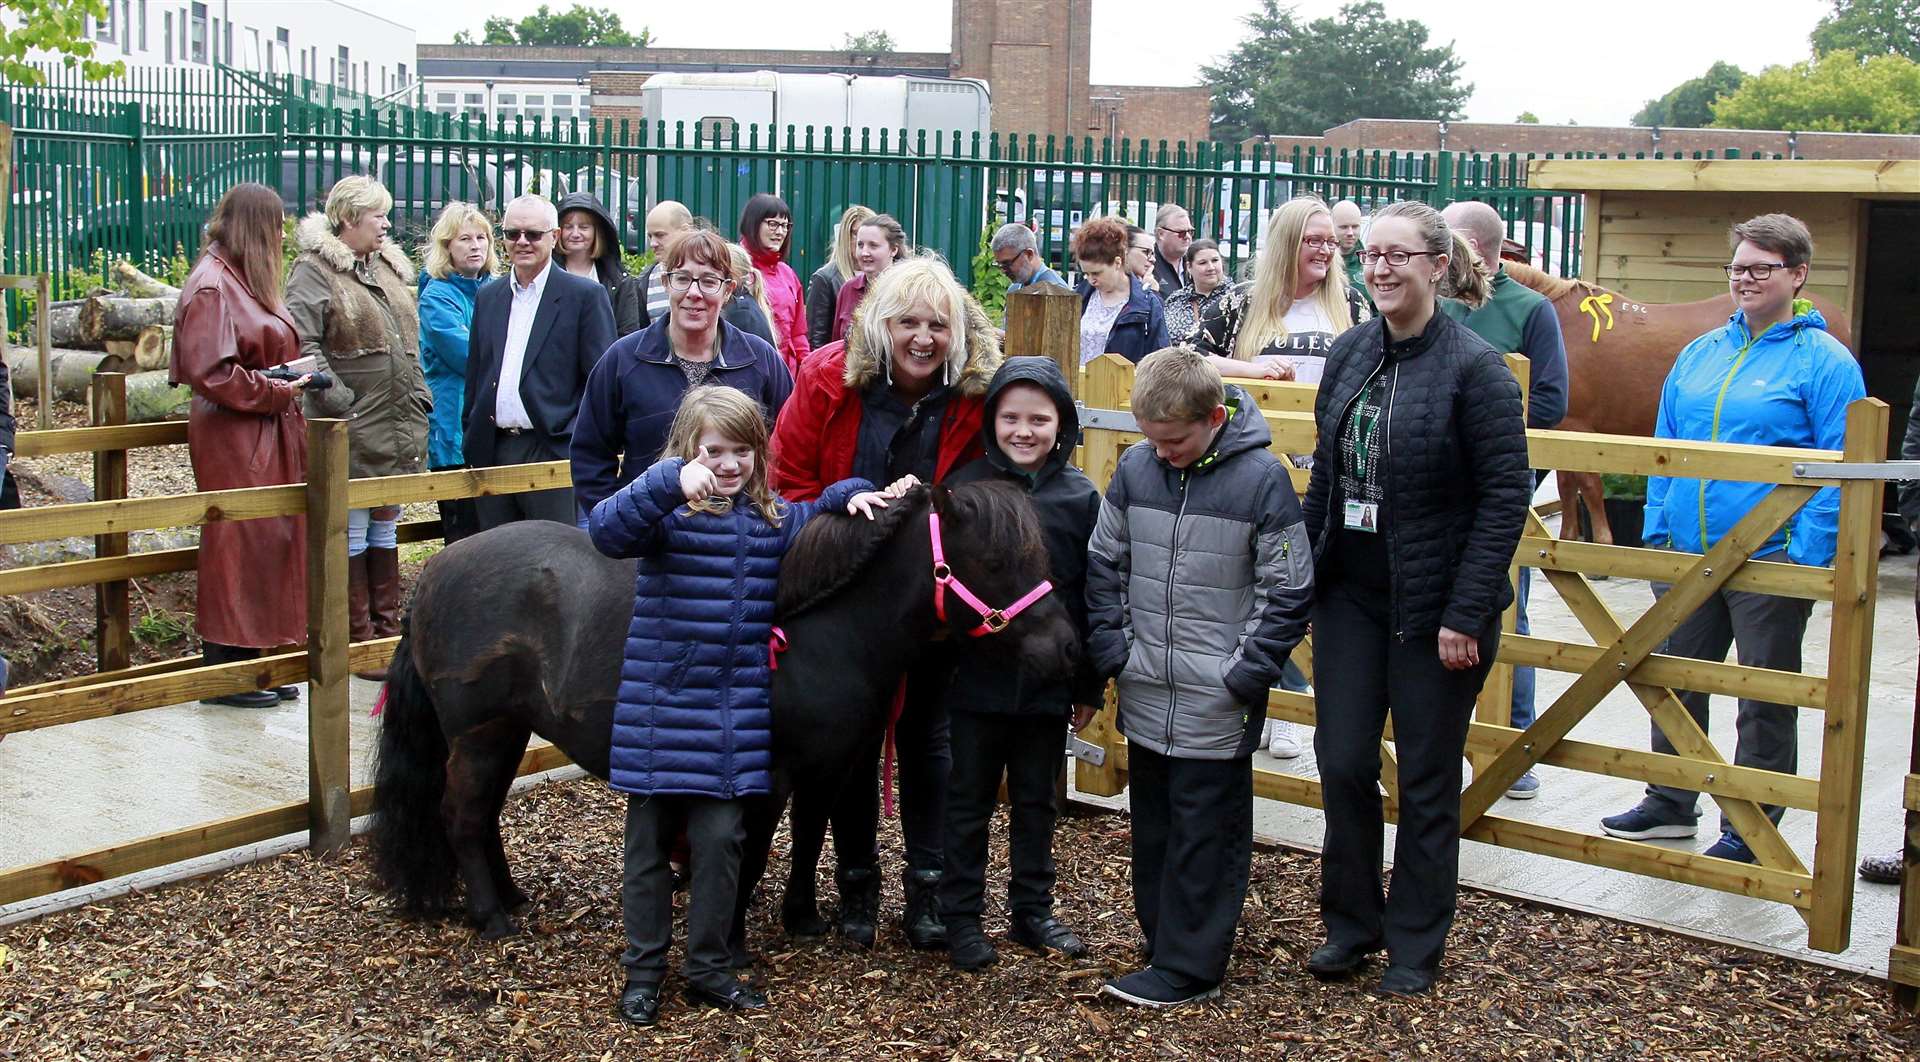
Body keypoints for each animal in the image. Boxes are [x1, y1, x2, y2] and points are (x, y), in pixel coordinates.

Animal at [366, 480, 1075, 937]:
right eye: (993, 561)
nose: (1067, 647)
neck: (817, 629)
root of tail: (434, 576)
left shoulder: (827, 768)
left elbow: (809, 840)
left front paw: (802, 920)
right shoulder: (770, 778)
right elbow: (753, 852)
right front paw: (731, 935)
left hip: (506, 732)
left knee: (482, 816)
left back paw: (509, 897)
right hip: (480, 734)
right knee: (462, 814)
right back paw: (492, 918)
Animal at [1505, 261, 1850, 545]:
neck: (1558, 323)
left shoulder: (1578, 427)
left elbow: (1588, 486)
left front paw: (1601, 545)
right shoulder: (1561, 432)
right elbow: (1567, 487)